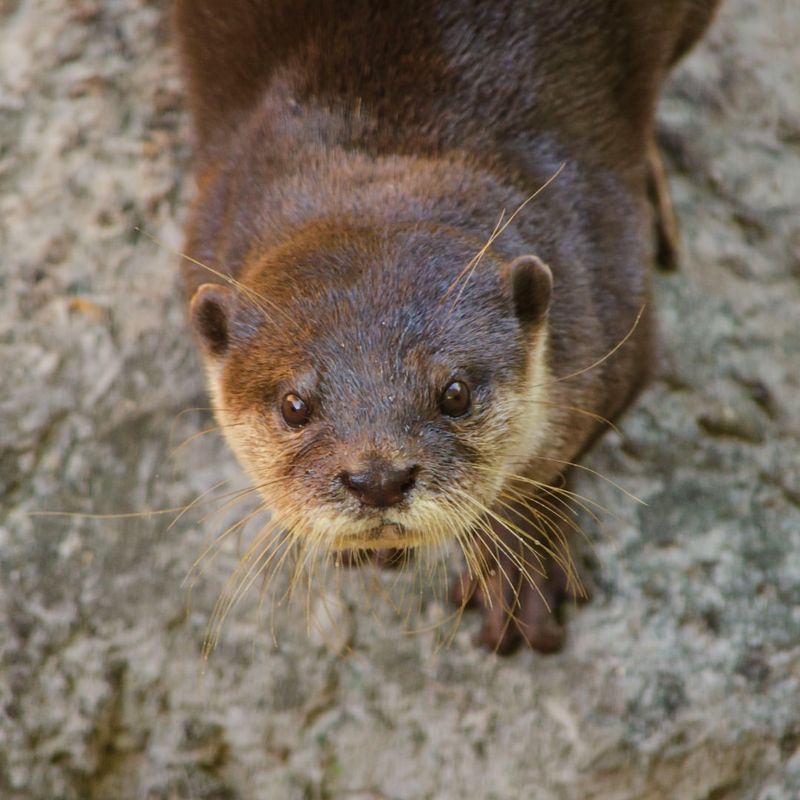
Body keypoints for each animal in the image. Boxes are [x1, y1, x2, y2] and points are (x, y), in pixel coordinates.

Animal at [172, 0, 720, 652]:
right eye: (294, 406)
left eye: (454, 394)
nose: (378, 479)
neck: (391, 134)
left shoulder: (616, 314)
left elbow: (548, 471)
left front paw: (516, 565)